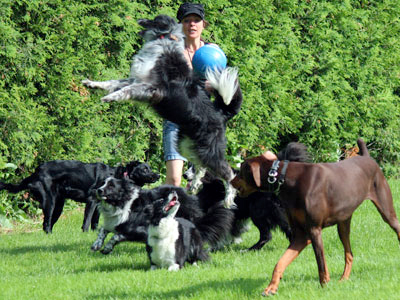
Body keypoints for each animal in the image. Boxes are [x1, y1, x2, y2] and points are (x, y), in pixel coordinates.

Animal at [0, 159, 159, 232]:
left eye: (149, 168)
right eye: (144, 169)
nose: (157, 175)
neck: (118, 176)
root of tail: (36, 172)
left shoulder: (99, 205)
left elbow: (95, 222)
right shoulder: (92, 200)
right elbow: (87, 221)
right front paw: (85, 232)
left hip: (59, 205)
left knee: (47, 224)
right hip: (50, 202)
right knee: (46, 223)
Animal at [83, 15, 242, 207]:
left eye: (152, 19)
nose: (139, 19)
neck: (163, 42)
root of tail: (220, 114)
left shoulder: (150, 88)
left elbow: (125, 90)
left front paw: (110, 97)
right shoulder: (135, 80)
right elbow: (113, 82)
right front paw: (92, 84)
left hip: (208, 149)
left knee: (228, 173)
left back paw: (228, 198)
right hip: (186, 145)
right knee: (201, 166)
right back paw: (195, 183)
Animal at [231, 140, 400, 296]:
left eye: (240, 171)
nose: (230, 181)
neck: (288, 178)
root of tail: (366, 157)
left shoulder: (314, 229)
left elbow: (321, 263)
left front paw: (325, 285)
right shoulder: (301, 234)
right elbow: (281, 262)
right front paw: (271, 288)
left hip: (387, 211)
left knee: (395, 228)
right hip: (343, 223)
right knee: (349, 253)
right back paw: (344, 279)